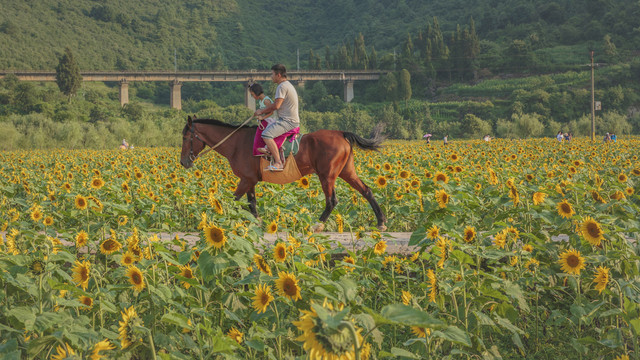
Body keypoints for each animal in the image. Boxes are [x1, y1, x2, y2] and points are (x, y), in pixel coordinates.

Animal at [179, 116, 384, 232]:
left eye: (185, 137)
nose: (183, 162)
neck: (236, 143)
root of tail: (341, 133)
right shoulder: (250, 180)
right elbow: (252, 203)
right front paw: (258, 223)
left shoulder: (246, 179)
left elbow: (233, 200)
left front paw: (219, 219)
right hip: (346, 172)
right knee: (367, 191)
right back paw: (381, 221)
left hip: (327, 175)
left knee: (332, 200)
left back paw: (317, 224)